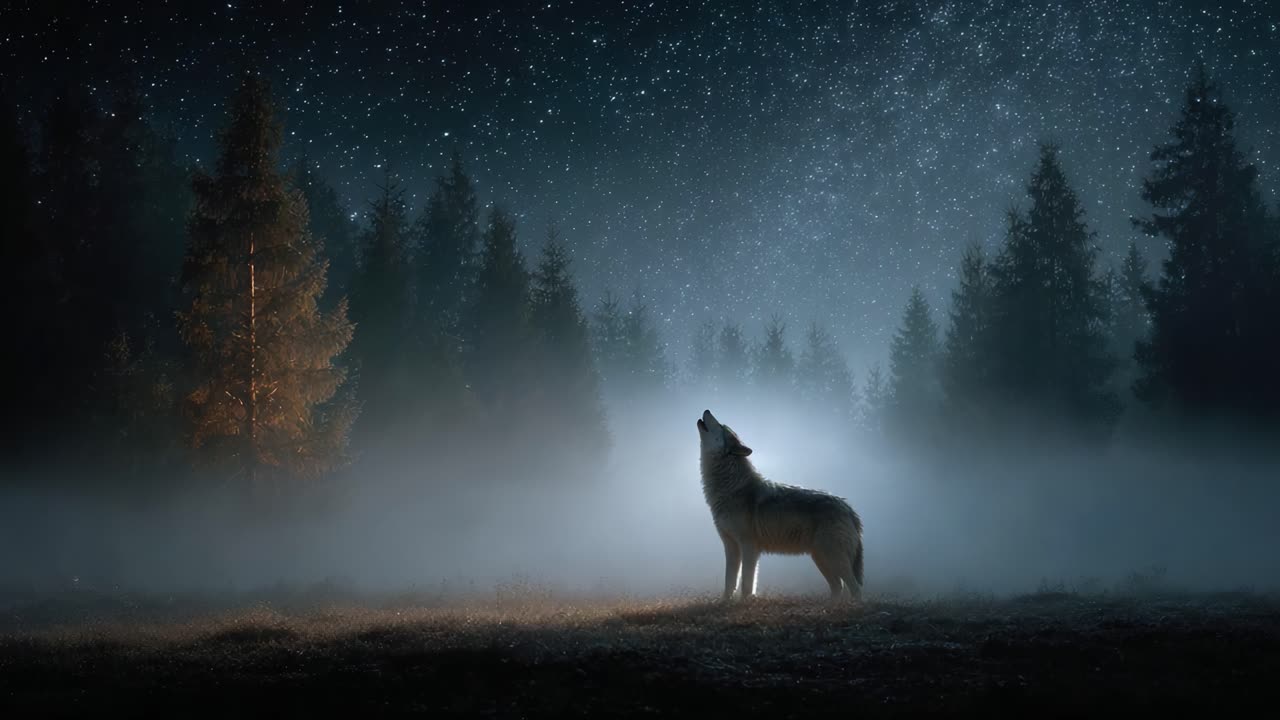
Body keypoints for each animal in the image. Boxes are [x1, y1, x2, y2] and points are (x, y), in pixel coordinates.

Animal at [697, 409, 864, 602]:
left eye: (720, 425)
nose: (707, 410)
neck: (732, 487)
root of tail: (848, 507)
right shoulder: (731, 547)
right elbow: (729, 580)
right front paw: (725, 602)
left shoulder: (749, 547)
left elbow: (747, 582)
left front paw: (745, 602)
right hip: (821, 558)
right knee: (838, 586)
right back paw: (830, 607)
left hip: (833, 558)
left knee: (855, 588)